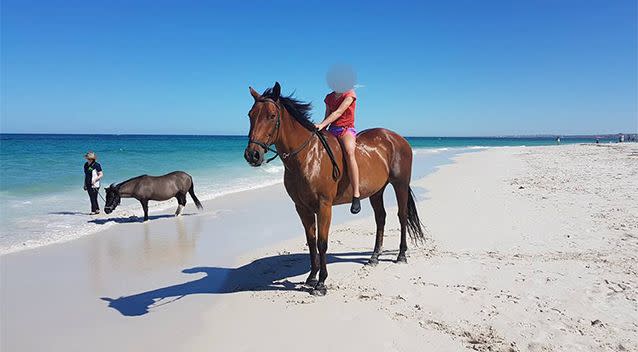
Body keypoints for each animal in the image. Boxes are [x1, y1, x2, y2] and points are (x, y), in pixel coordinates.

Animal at [245, 84, 424, 296]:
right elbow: (311, 241)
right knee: (380, 218)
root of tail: (397, 138)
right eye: (250, 115)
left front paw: (321, 283)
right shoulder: (302, 207)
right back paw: (374, 257)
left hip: (400, 185)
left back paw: (401, 255)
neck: (307, 156)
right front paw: (311, 277)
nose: (252, 154)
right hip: (376, 191)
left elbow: (322, 243)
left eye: (272, 116)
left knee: (402, 216)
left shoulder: (324, 206)